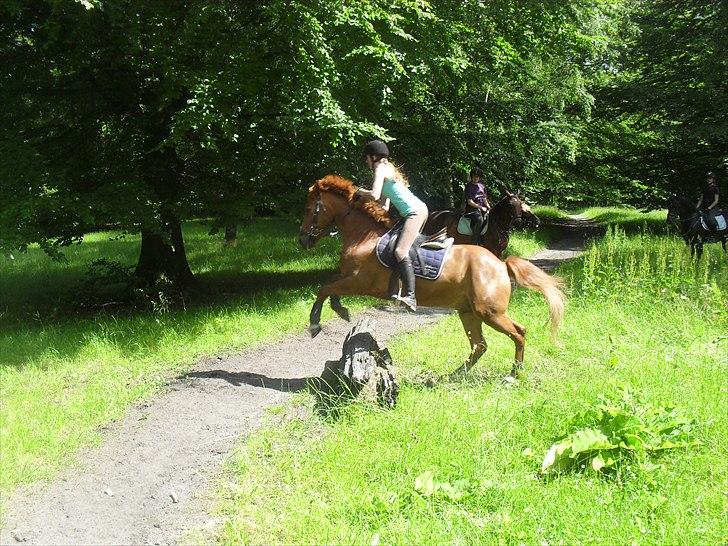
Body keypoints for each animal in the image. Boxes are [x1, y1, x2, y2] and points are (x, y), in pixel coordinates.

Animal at [298, 175, 564, 378]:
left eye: (310, 209)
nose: (302, 240)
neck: (365, 238)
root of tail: (500, 264)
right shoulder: (348, 277)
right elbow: (329, 286)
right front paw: (340, 310)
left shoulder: (359, 281)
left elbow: (325, 288)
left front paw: (315, 324)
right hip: (469, 312)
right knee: (480, 345)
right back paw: (455, 375)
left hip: (489, 312)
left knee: (518, 333)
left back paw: (513, 375)